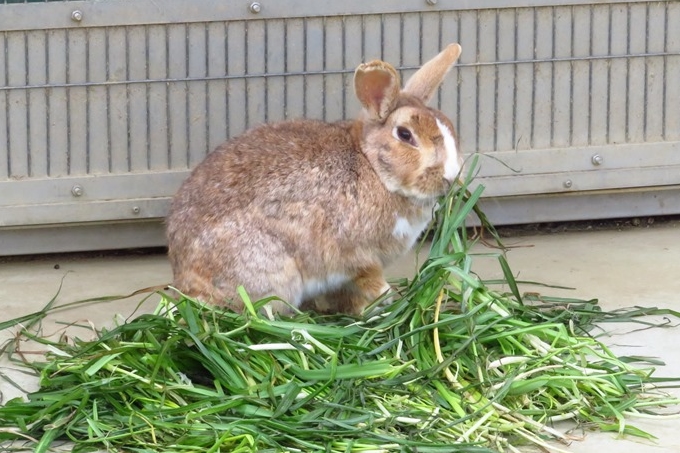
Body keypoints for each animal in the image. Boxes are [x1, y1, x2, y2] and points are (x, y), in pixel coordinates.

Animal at [166, 44, 462, 316]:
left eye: (449, 125)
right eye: (405, 135)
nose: (451, 176)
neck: (372, 168)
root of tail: (186, 279)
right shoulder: (355, 255)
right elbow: (369, 278)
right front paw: (385, 299)